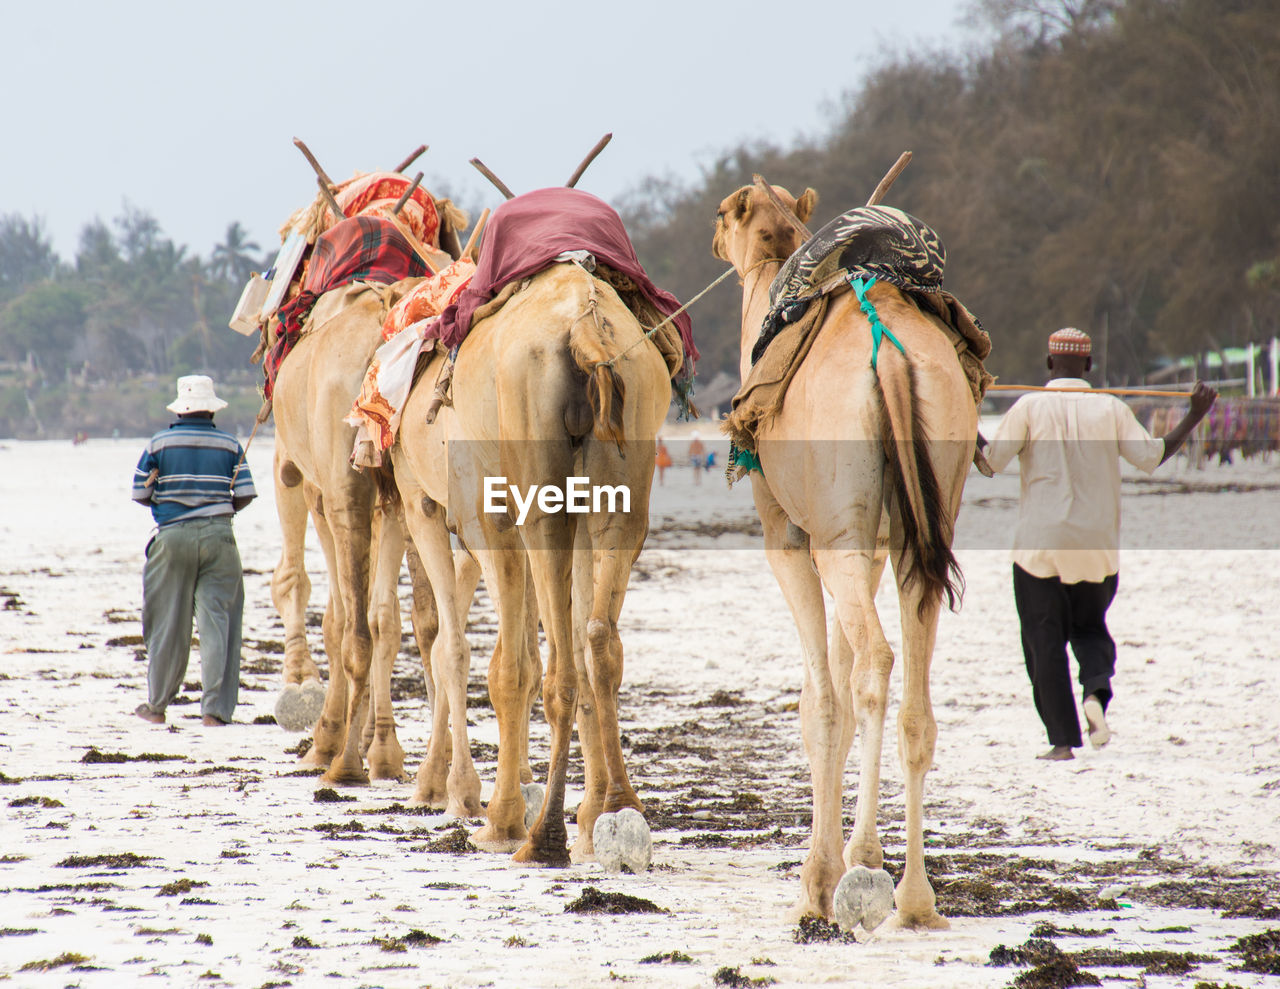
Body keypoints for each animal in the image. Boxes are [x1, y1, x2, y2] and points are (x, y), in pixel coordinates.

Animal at [391, 258, 670, 859]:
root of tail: (588, 330)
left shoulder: (443, 505)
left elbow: (491, 660)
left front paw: (488, 811)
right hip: (626, 452)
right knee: (598, 640)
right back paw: (616, 807)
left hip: (527, 458)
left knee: (546, 664)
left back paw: (540, 834)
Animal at [711, 182, 977, 926]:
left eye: (722, 214)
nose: (714, 239)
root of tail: (889, 357)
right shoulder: (866, 542)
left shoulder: (790, 536)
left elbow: (818, 702)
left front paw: (816, 880)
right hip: (917, 527)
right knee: (914, 695)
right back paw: (915, 898)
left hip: (835, 538)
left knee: (875, 664)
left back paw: (860, 870)